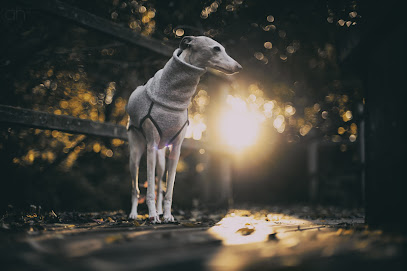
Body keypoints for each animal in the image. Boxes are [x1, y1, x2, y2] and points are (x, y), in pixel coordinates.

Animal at [126, 35, 242, 223]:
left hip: (161, 158)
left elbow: (168, 190)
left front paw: (167, 215)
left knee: (159, 185)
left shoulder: (176, 149)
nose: (239, 67)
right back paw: (134, 214)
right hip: (136, 153)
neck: (173, 98)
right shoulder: (151, 146)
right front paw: (152, 216)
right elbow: (148, 190)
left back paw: (159, 211)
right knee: (135, 187)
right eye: (216, 48)